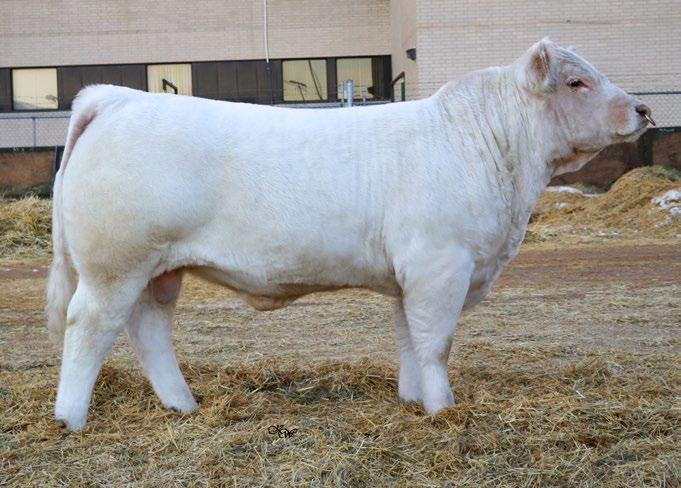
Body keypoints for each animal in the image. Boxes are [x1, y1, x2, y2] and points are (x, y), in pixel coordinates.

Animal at [46, 39, 653, 430]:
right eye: (576, 81)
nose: (643, 108)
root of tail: (118, 97)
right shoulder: (441, 265)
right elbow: (436, 342)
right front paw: (443, 409)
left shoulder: (410, 275)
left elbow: (409, 337)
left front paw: (412, 400)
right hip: (114, 264)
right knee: (88, 326)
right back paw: (70, 418)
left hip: (159, 269)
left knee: (148, 329)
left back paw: (182, 406)